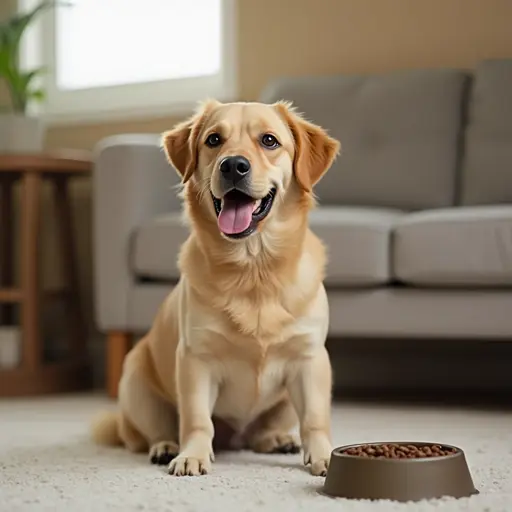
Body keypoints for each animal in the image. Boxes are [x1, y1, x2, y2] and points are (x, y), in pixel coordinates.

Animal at [92, 99, 340, 476]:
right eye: (213, 140)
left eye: (269, 140)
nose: (233, 165)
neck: (254, 269)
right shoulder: (197, 360)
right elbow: (196, 420)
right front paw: (191, 455)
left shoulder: (309, 359)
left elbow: (313, 419)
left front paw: (324, 455)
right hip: (135, 384)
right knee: (154, 431)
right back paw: (165, 446)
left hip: (283, 401)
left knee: (259, 434)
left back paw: (277, 439)